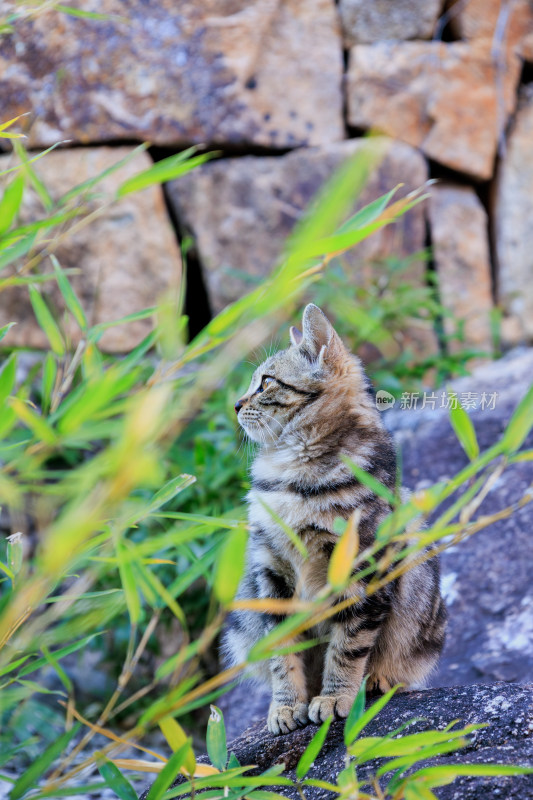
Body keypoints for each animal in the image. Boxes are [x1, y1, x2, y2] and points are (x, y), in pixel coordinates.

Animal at [222, 304, 446, 736]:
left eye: (266, 382)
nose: (236, 405)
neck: (293, 477)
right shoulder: (270, 569)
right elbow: (283, 653)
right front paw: (286, 706)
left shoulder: (360, 570)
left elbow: (347, 646)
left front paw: (334, 698)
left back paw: (377, 681)